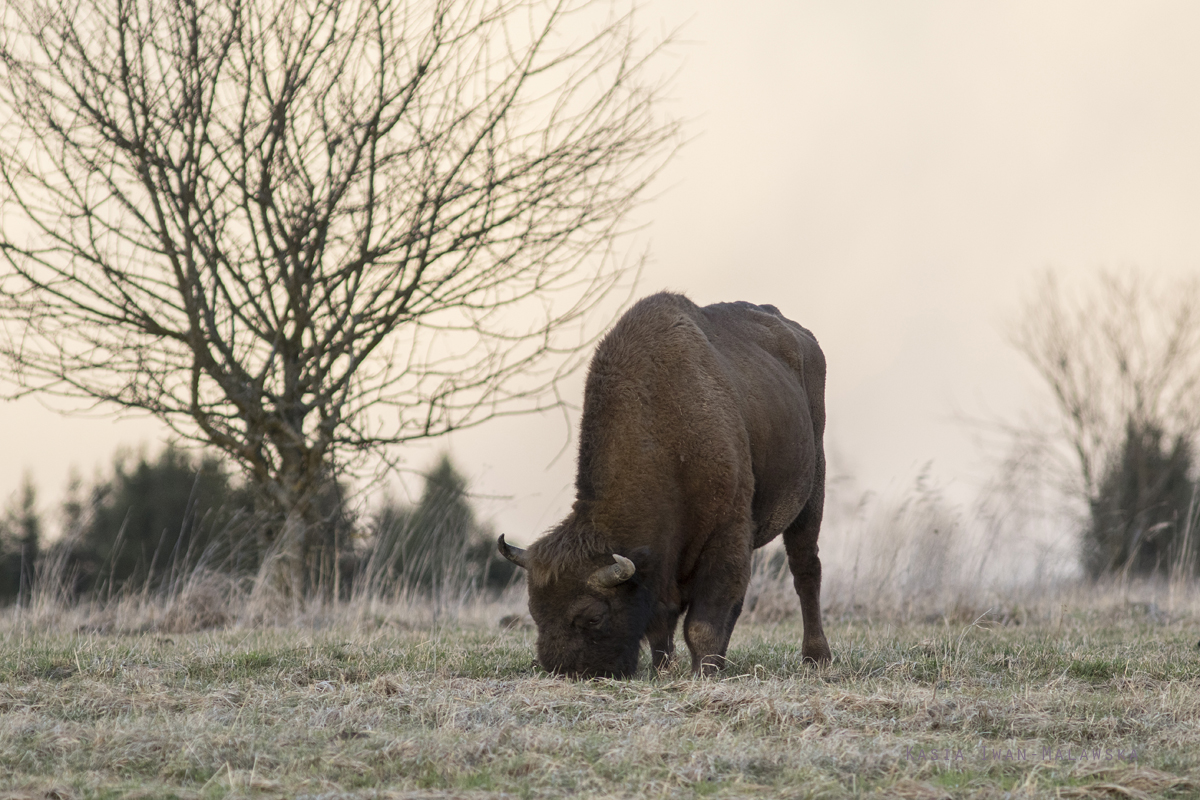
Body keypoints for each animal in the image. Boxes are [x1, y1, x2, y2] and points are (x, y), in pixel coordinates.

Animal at [494, 291, 825, 681]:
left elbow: (702, 622)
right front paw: (666, 669)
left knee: (805, 570)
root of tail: (802, 337)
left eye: (592, 617)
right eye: (535, 611)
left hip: (812, 489)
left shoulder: (726, 535)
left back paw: (817, 657)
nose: (565, 670)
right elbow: (662, 625)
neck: (662, 436)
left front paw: (702, 672)